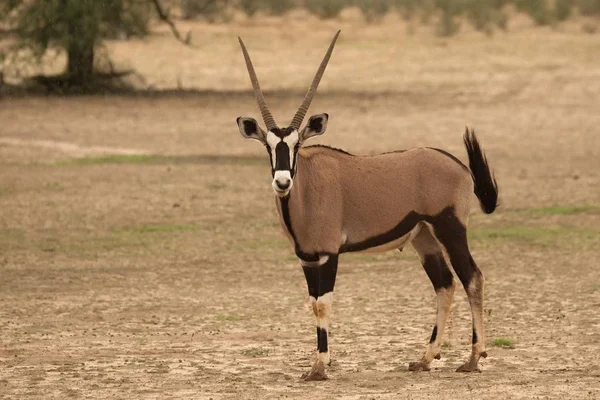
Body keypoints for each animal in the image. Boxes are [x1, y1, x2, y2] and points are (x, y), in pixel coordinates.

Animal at [237, 31, 500, 382]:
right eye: (268, 147)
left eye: (296, 144)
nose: (282, 182)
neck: (307, 188)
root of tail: (457, 164)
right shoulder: (307, 258)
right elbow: (313, 303)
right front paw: (317, 364)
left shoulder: (328, 254)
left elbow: (323, 304)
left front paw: (319, 367)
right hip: (424, 237)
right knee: (445, 285)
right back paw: (425, 359)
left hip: (450, 228)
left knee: (472, 278)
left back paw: (473, 358)